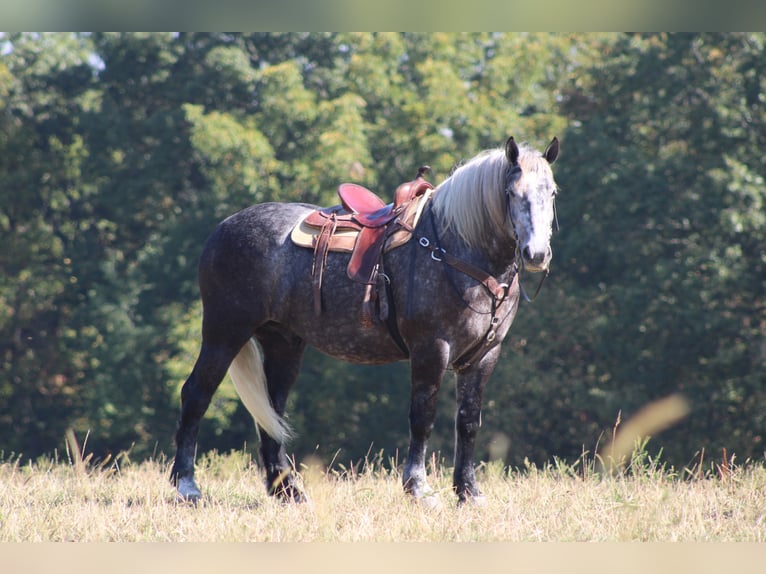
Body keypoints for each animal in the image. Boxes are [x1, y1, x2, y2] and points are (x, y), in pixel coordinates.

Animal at [170, 135, 560, 505]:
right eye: (511, 193)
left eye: (552, 191)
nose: (536, 254)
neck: (454, 248)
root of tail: (222, 229)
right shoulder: (432, 349)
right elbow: (422, 418)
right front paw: (419, 489)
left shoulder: (484, 355)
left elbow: (468, 422)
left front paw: (468, 492)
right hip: (224, 333)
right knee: (196, 394)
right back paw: (187, 486)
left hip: (283, 344)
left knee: (271, 412)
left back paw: (288, 492)